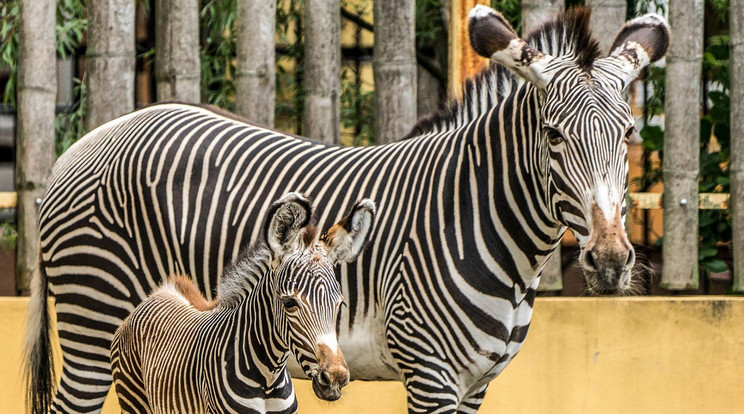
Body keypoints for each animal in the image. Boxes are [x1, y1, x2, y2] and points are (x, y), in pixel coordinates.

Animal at [109, 194, 378, 414]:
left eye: (339, 305)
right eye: (289, 303)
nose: (335, 378)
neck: (268, 379)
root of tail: (163, 290)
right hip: (133, 399)